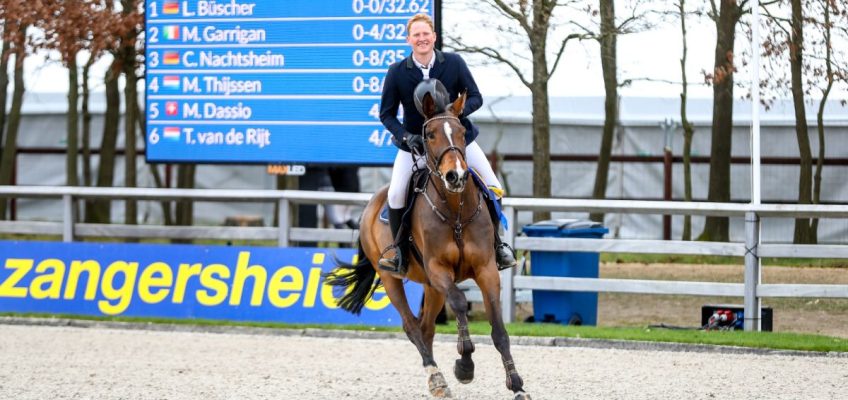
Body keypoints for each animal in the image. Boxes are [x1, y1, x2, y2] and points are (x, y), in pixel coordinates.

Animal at [324, 90, 528, 400]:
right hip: (393, 278)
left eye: (461, 131)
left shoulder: (486, 270)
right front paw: (464, 365)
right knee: (412, 326)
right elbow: (459, 303)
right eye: (429, 135)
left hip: (431, 288)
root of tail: (370, 204)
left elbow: (499, 331)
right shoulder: (438, 269)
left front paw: (516, 385)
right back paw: (437, 378)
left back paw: (437, 376)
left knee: (426, 327)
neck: (456, 211)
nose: (456, 176)